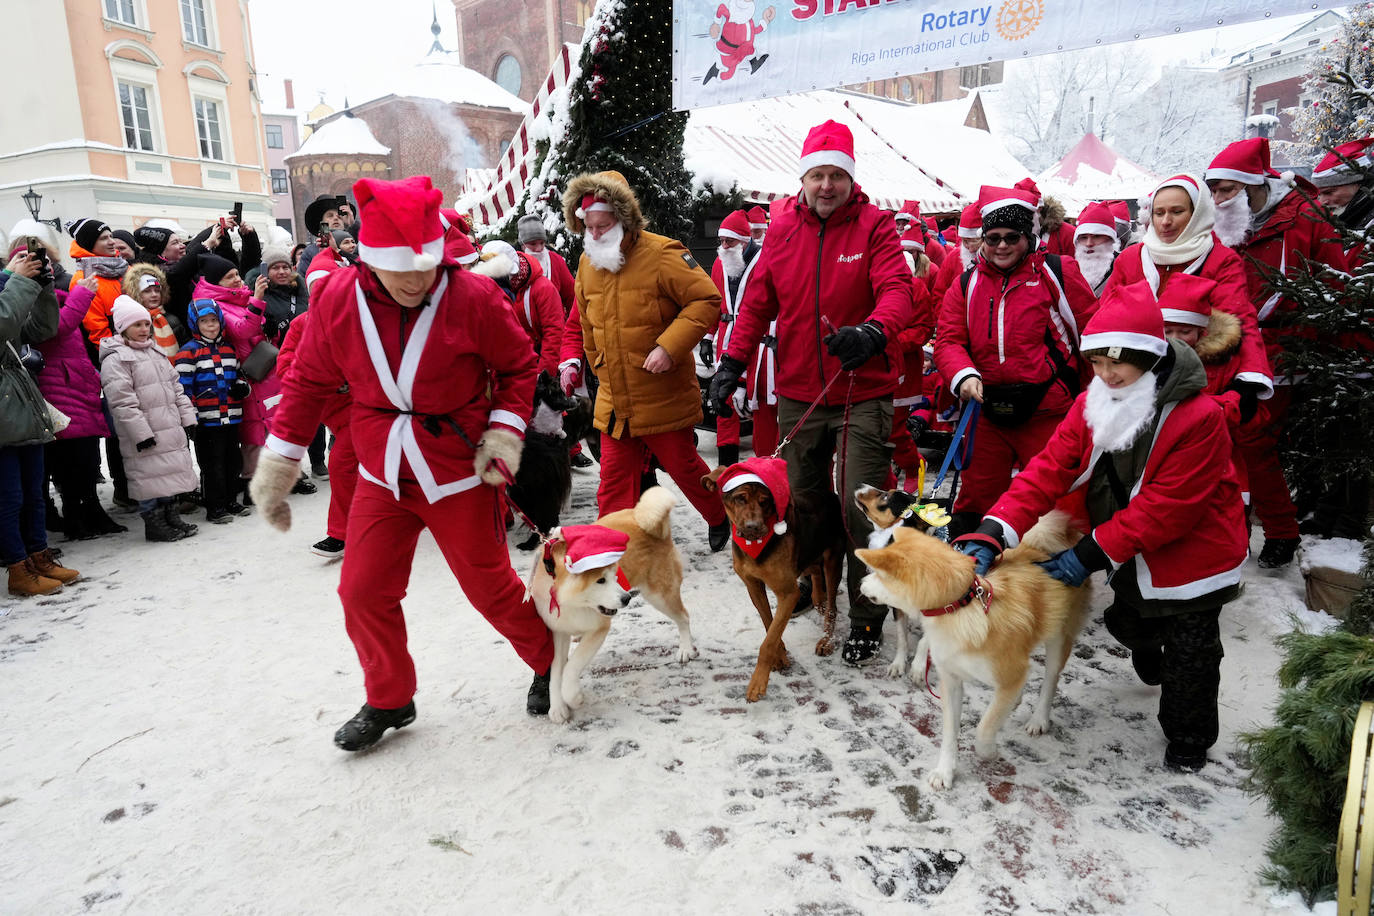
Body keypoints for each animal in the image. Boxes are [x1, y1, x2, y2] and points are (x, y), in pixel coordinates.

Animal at [527, 486, 697, 725]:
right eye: (600, 580)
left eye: (614, 575)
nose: (626, 599)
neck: (571, 603)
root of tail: (652, 523)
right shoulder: (558, 630)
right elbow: (556, 671)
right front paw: (557, 707)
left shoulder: (599, 628)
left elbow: (572, 666)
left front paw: (573, 697)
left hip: (659, 595)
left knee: (684, 617)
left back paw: (685, 648)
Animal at [703, 461, 840, 708]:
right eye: (740, 498)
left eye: (765, 501)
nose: (753, 527)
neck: (755, 545)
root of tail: (830, 494)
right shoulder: (753, 585)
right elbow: (769, 624)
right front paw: (780, 654)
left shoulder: (788, 592)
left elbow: (767, 641)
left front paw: (758, 683)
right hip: (807, 556)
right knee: (815, 574)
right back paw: (817, 598)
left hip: (833, 557)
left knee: (833, 605)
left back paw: (827, 639)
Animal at [857, 513, 1093, 791]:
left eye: (878, 575)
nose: (860, 583)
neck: (959, 608)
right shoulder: (951, 679)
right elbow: (949, 733)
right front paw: (945, 771)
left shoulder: (1008, 671)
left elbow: (984, 726)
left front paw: (988, 751)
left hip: (1058, 636)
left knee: (1050, 679)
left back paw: (1039, 719)